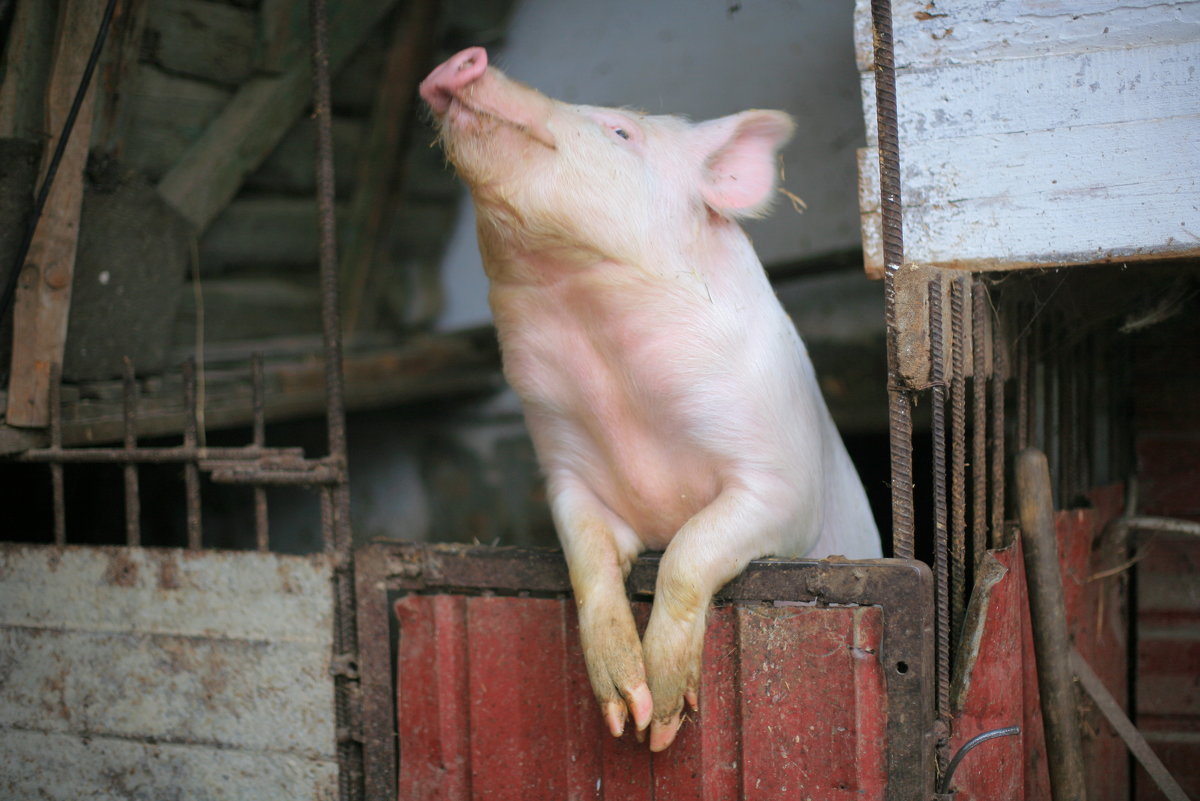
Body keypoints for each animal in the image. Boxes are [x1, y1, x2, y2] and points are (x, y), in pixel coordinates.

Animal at [420, 48, 883, 753]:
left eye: (620, 131)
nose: (461, 60)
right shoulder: (566, 472)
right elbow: (587, 560)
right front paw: (624, 713)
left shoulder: (783, 483)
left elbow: (690, 549)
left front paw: (660, 727)